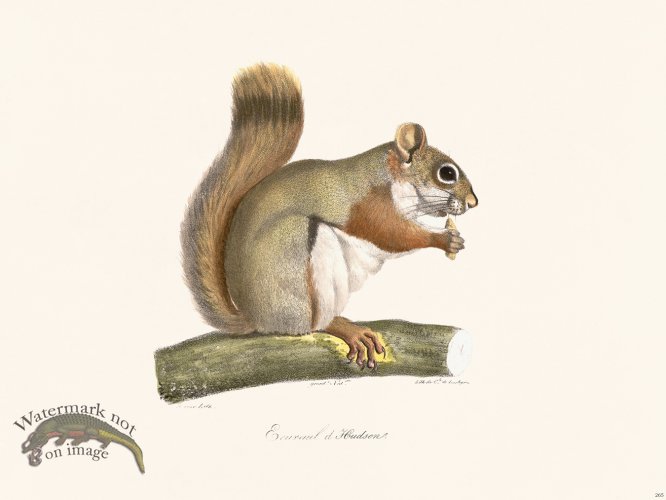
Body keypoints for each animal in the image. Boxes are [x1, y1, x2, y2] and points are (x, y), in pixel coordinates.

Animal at [181, 63, 478, 369]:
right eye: (447, 173)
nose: (474, 202)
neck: (391, 177)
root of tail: (256, 318)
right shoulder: (368, 205)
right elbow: (391, 233)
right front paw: (443, 239)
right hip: (298, 256)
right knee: (312, 324)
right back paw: (342, 328)